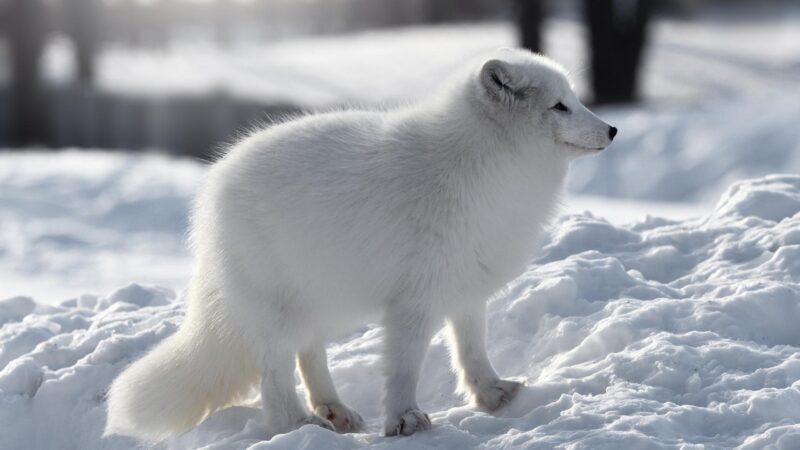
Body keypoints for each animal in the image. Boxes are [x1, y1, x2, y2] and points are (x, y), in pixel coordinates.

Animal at [103, 47, 616, 442]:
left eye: (575, 100)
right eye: (559, 106)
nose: (612, 130)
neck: (487, 165)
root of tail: (213, 188)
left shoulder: (467, 290)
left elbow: (473, 351)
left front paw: (493, 395)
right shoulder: (414, 302)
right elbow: (405, 367)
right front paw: (406, 421)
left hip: (324, 302)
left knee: (309, 353)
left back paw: (333, 409)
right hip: (279, 309)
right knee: (275, 372)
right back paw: (297, 425)